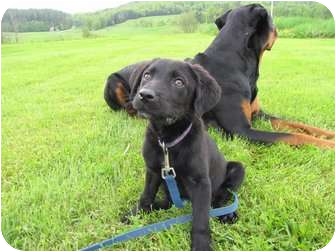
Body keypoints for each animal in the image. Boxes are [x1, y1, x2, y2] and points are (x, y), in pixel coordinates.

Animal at [104, 3, 334, 149]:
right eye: (272, 22)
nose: (277, 30)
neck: (237, 65)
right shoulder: (241, 131)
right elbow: (294, 136)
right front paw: (329, 145)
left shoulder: (258, 114)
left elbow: (297, 125)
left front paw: (329, 134)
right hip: (113, 82)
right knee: (128, 109)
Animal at [126, 58, 244, 250]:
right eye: (147, 76)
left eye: (179, 82)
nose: (145, 95)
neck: (168, 141)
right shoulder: (152, 171)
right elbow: (146, 195)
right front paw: (137, 214)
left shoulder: (201, 182)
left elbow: (201, 217)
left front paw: (201, 245)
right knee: (168, 202)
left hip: (238, 169)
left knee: (220, 198)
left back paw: (226, 214)